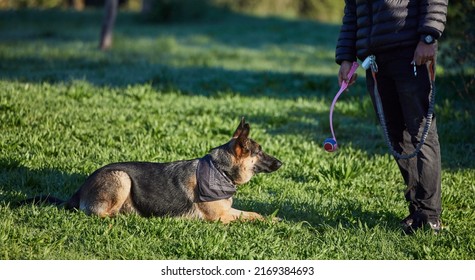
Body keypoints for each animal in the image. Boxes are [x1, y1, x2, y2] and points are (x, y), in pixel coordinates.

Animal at [29, 118, 280, 223]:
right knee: (100, 214)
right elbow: (247, 219)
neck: (220, 170)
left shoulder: (227, 210)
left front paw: (272, 219)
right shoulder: (220, 218)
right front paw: (266, 222)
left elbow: (253, 213)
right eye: (260, 152)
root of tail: (79, 191)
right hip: (121, 178)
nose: (281, 163)